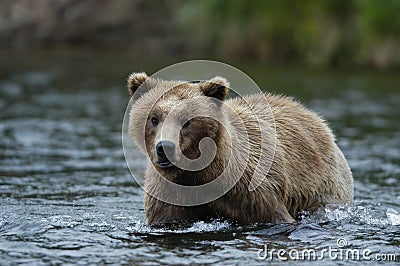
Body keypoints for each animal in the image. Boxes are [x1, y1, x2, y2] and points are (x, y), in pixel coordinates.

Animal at [126, 72, 354, 227]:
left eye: (187, 121)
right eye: (154, 118)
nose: (165, 147)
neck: (200, 177)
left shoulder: (252, 190)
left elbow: (274, 214)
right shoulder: (169, 195)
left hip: (322, 184)